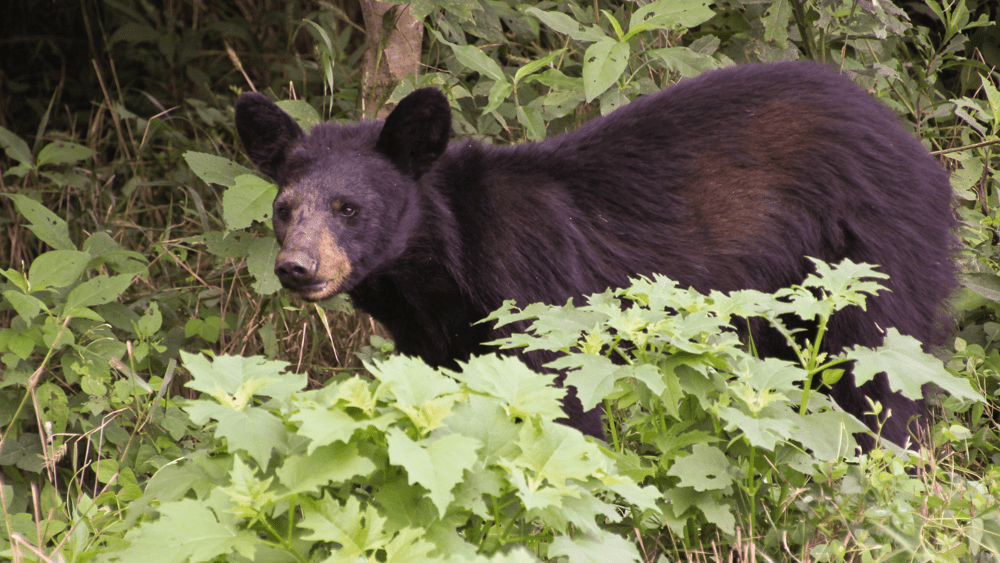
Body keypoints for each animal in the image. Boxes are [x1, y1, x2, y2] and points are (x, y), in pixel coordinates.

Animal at [234, 60, 957, 450]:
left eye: (349, 208)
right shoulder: (438, 337)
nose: (297, 268)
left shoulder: (539, 295)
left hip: (872, 250)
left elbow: (561, 405)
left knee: (882, 371)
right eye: (285, 208)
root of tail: (920, 151)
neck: (440, 267)